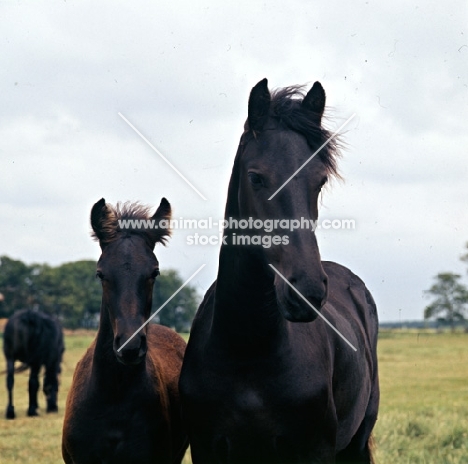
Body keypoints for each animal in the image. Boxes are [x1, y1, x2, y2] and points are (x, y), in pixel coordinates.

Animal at [179, 78, 380, 462]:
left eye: (320, 181)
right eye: (256, 178)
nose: (306, 292)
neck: (249, 350)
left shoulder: (316, 450)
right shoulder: (206, 447)